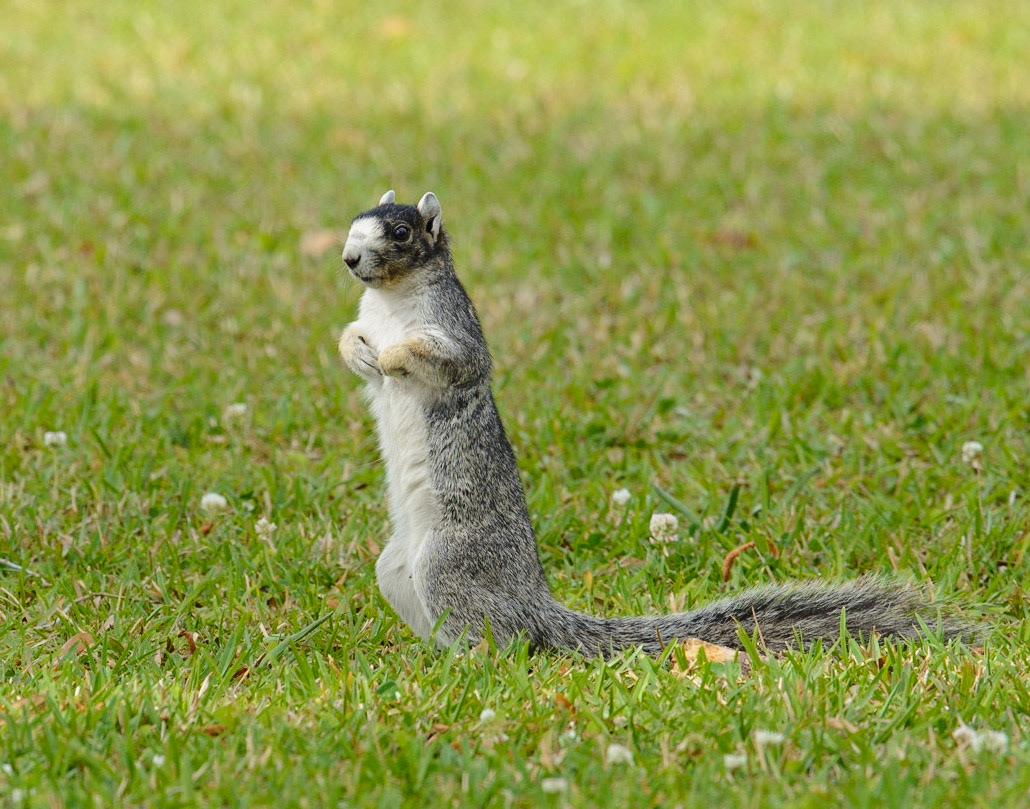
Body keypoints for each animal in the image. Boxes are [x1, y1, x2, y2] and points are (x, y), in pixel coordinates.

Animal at [337, 190, 968, 656]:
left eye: (401, 233)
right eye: (353, 224)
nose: (348, 259)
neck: (391, 302)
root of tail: (534, 605)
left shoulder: (456, 330)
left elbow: (450, 358)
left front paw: (394, 357)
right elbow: (353, 342)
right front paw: (361, 353)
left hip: (450, 563)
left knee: (504, 640)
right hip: (396, 571)